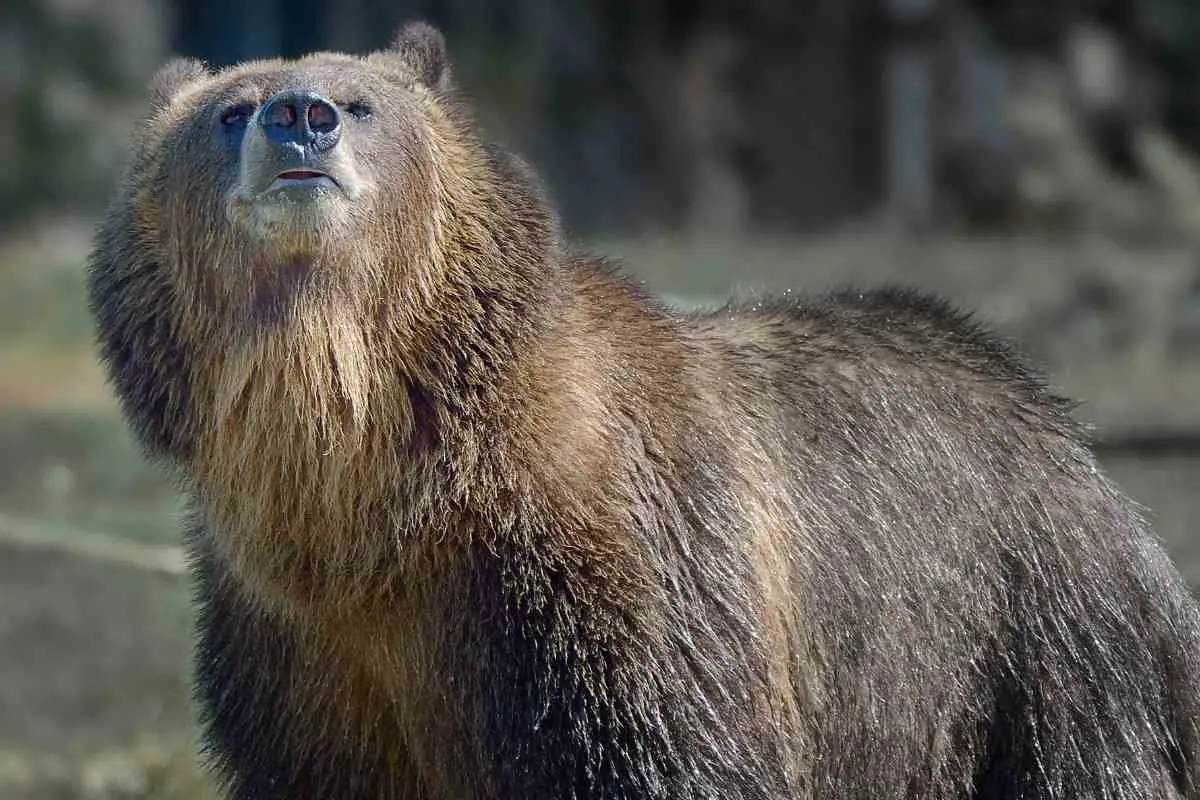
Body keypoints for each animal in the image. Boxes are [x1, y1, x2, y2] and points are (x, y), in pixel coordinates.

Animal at [86, 20, 1200, 800]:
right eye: (231, 109)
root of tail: (1062, 427)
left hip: (1021, 637)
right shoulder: (302, 652)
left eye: (360, 103)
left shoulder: (621, 592)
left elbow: (668, 749)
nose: (300, 116)